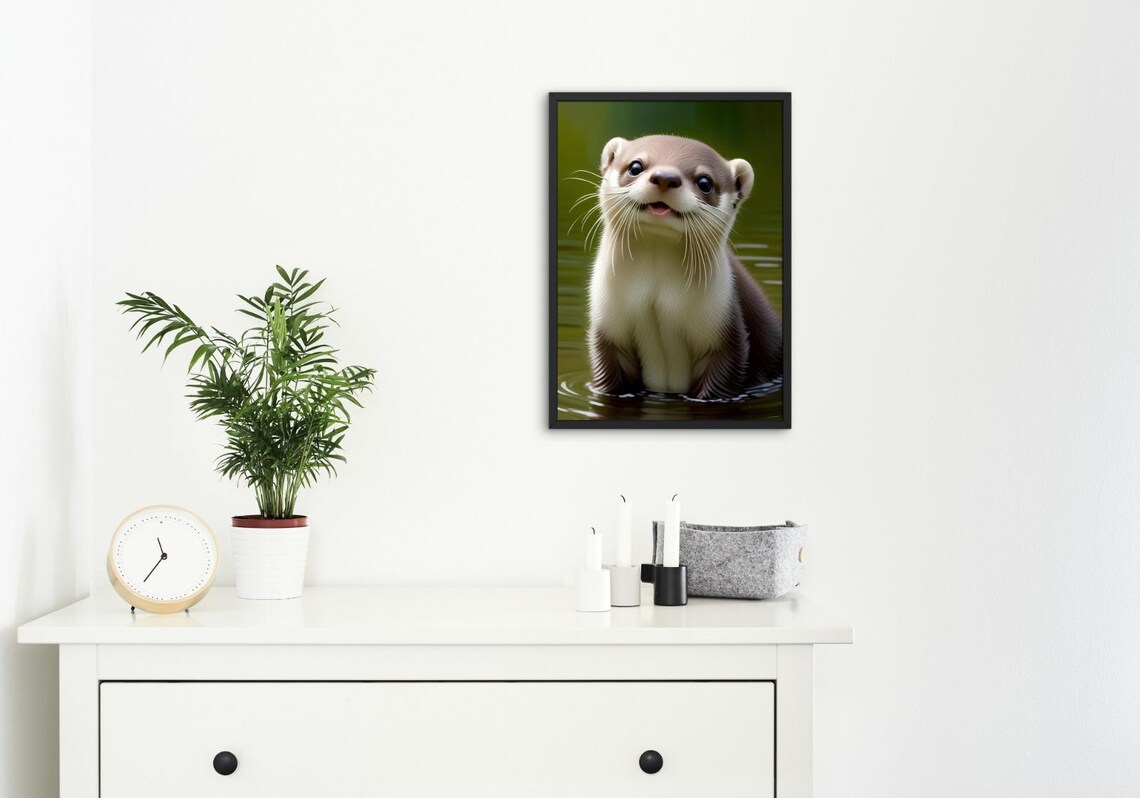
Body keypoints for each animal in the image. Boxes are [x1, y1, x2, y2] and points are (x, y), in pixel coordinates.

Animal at [586, 134, 783, 400]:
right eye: (635, 166)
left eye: (704, 181)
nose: (665, 178)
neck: (656, 292)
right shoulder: (609, 327)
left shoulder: (727, 334)